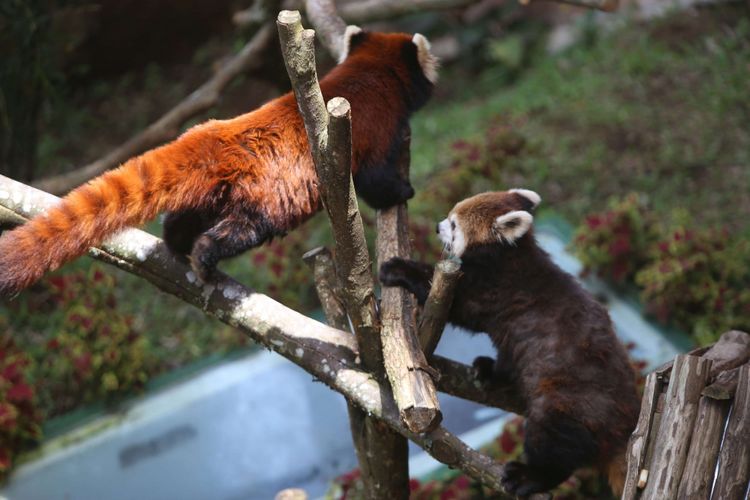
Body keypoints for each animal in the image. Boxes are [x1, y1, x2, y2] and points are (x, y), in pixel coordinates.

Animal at [0, 29, 440, 294]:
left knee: (183, 221)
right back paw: (204, 257)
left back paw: (177, 246)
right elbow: (373, 179)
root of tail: (213, 138)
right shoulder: (374, 126)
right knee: (241, 231)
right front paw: (402, 191)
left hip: (209, 195)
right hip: (261, 197)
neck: (372, 70)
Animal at [382, 189, 640, 498]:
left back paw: (529, 476)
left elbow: (456, 304)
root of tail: (624, 427)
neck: (510, 255)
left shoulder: (488, 290)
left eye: (454, 225)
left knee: (555, 444)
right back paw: (488, 369)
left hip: (570, 403)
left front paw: (397, 268)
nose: (436, 226)